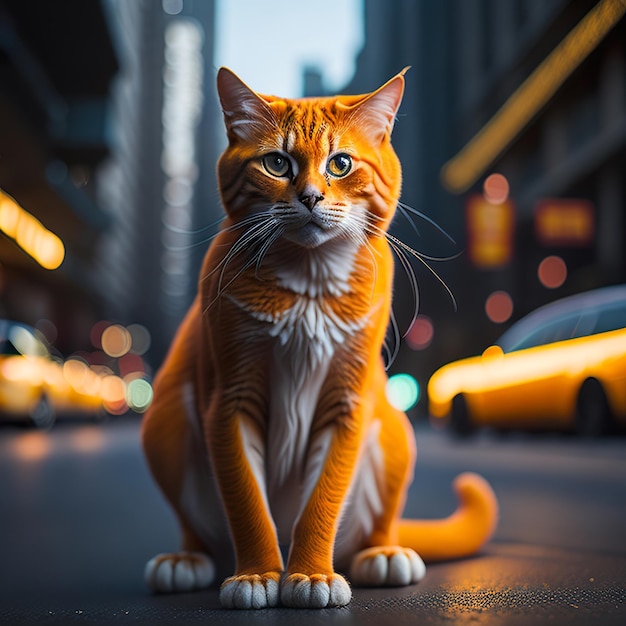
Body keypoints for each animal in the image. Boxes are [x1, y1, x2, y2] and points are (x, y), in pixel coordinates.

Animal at [141, 67, 498, 604]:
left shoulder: (346, 401)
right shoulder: (230, 398)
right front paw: (257, 574)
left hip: (395, 433)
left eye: (341, 163)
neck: (308, 285)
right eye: (276, 162)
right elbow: (246, 501)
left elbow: (322, 500)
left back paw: (383, 553)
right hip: (164, 420)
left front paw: (310, 574)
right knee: (195, 527)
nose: (310, 196)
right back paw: (186, 560)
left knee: (377, 525)